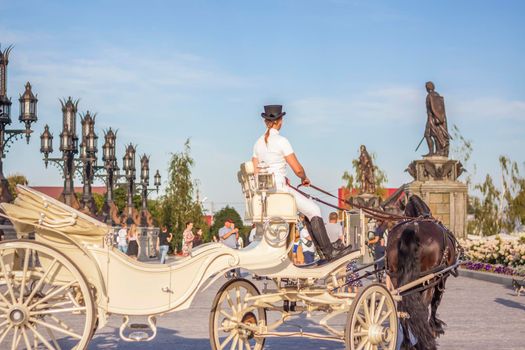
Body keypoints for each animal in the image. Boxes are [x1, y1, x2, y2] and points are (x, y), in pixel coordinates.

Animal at [384, 196, 458, 348]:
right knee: (423, 309)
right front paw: (435, 327)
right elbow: (435, 302)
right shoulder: (442, 278)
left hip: (397, 279)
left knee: (402, 309)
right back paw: (424, 342)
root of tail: (412, 229)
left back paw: (407, 343)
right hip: (429, 279)